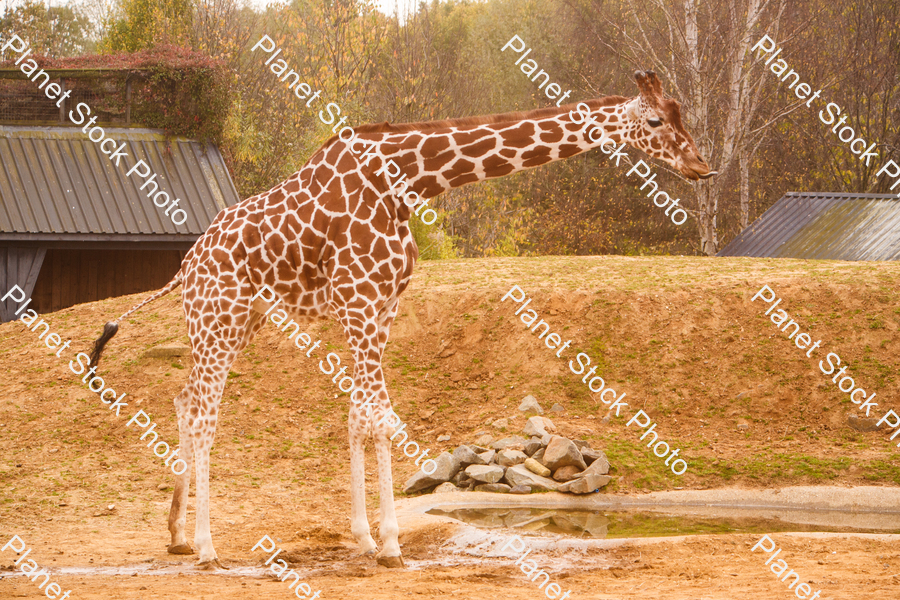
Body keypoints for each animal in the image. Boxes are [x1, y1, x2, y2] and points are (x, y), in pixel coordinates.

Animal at [88, 69, 712, 568]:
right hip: (217, 317)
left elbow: (359, 418)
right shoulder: (362, 302)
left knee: (183, 398)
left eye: (681, 114)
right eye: (655, 119)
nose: (701, 166)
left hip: (239, 322)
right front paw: (389, 545)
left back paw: (177, 536)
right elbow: (379, 419)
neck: (407, 180)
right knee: (203, 414)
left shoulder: (383, 306)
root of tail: (185, 265)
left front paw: (365, 539)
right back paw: (207, 547)